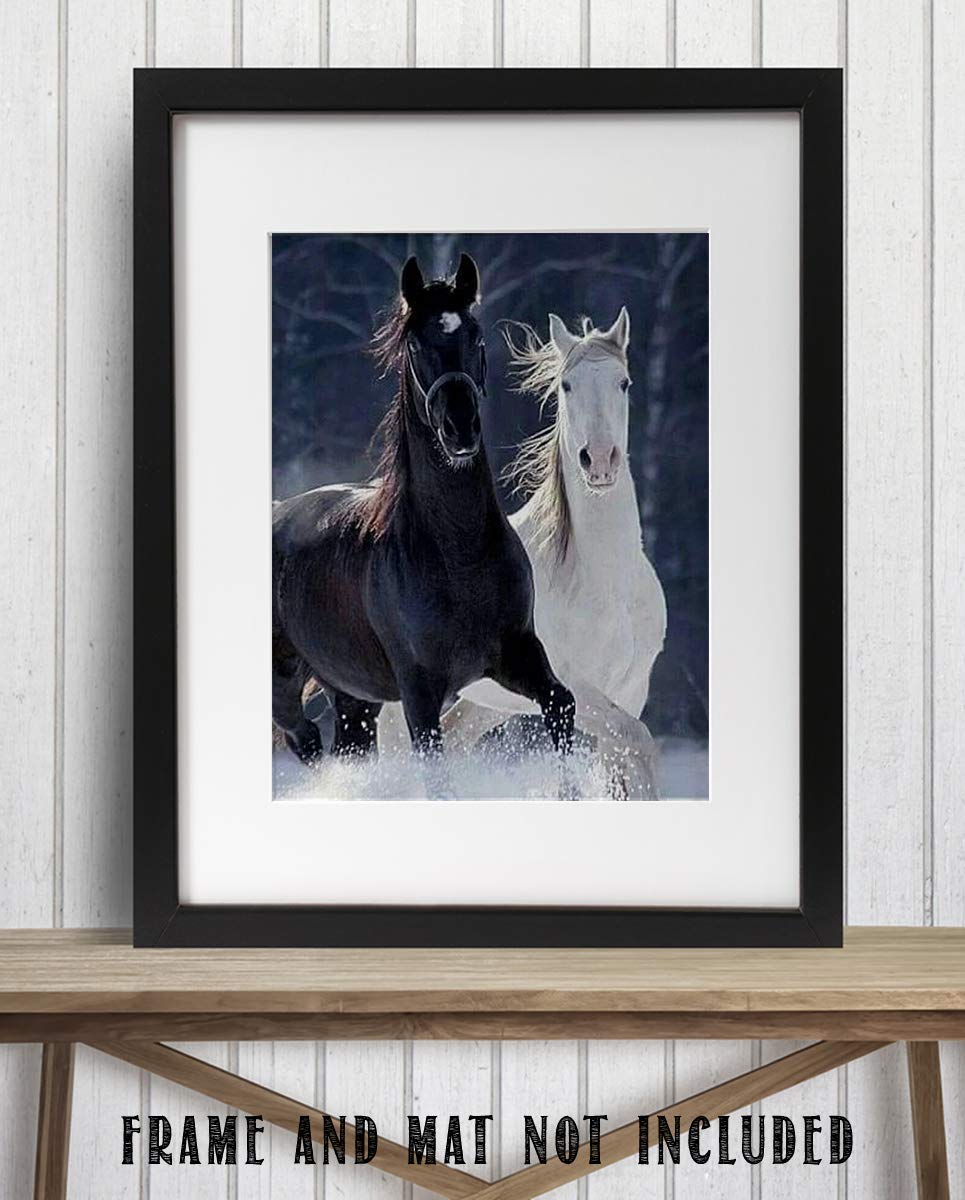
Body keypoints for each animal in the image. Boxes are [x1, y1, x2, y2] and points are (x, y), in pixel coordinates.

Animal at [271, 253, 576, 794]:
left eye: (475, 335)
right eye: (415, 344)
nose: (459, 429)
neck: (458, 555)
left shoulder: (518, 653)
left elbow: (561, 706)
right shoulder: (419, 692)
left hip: (354, 696)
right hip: (285, 686)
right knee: (305, 740)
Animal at [382, 307, 667, 798]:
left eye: (624, 382)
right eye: (566, 385)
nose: (600, 460)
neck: (604, 580)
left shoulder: (632, 689)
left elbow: (624, 767)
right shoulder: (576, 688)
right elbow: (636, 741)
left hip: (483, 705)